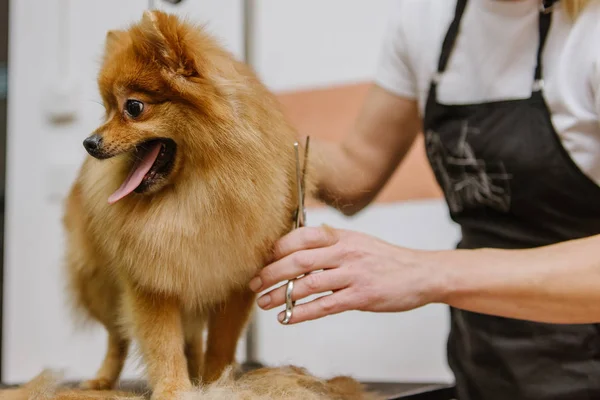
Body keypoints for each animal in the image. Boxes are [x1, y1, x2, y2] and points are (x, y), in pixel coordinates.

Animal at [62, 9, 314, 400]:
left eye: (133, 107)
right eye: (106, 109)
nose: (90, 142)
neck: (196, 193)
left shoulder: (233, 284)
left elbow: (220, 343)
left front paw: (215, 383)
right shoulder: (151, 282)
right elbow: (162, 343)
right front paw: (173, 389)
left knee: (192, 338)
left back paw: (196, 373)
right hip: (99, 286)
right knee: (117, 337)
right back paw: (103, 379)